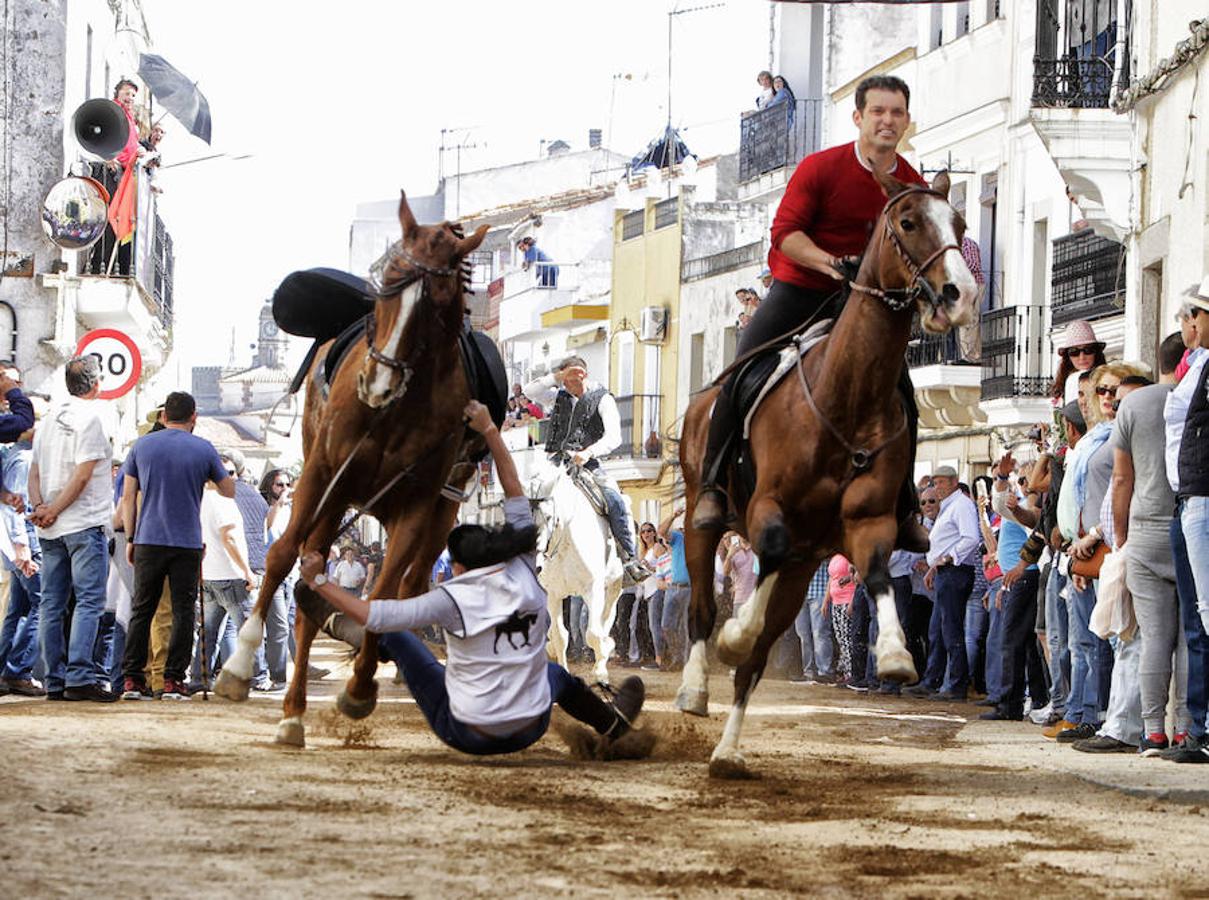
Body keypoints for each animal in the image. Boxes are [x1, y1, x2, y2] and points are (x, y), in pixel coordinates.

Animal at [215, 191, 488, 745]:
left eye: (436, 302)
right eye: (387, 284)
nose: (376, 383)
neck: (398, 408)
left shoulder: (418, 504)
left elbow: (383, 595)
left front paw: (361, 687)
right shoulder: (323, 474)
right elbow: (281, 556)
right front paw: (239, 664)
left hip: (422, 515)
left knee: (399, 586)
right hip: (333, 497)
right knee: (302, 576)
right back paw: (290, 710)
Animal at [527, 452, 623, 687]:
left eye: (548, 517)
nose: (535, 564)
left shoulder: (592, 589)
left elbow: (593, 634)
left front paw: (601, 670)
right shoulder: (553, 594)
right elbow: (560, 636)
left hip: (614, 586)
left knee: (606, 619)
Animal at [677, 170, 976, 779]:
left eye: (958, 224)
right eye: (909, 222)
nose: (960, 293)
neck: (846, 396)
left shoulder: (867, 521)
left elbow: (880, 573)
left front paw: (894, 654)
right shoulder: (768, 507)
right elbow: (762, 551)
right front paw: (733, 633)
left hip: (803, 567)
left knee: (758, 660)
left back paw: (728, 752)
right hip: (703, 519)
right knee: (700, 605)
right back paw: (695, 688)